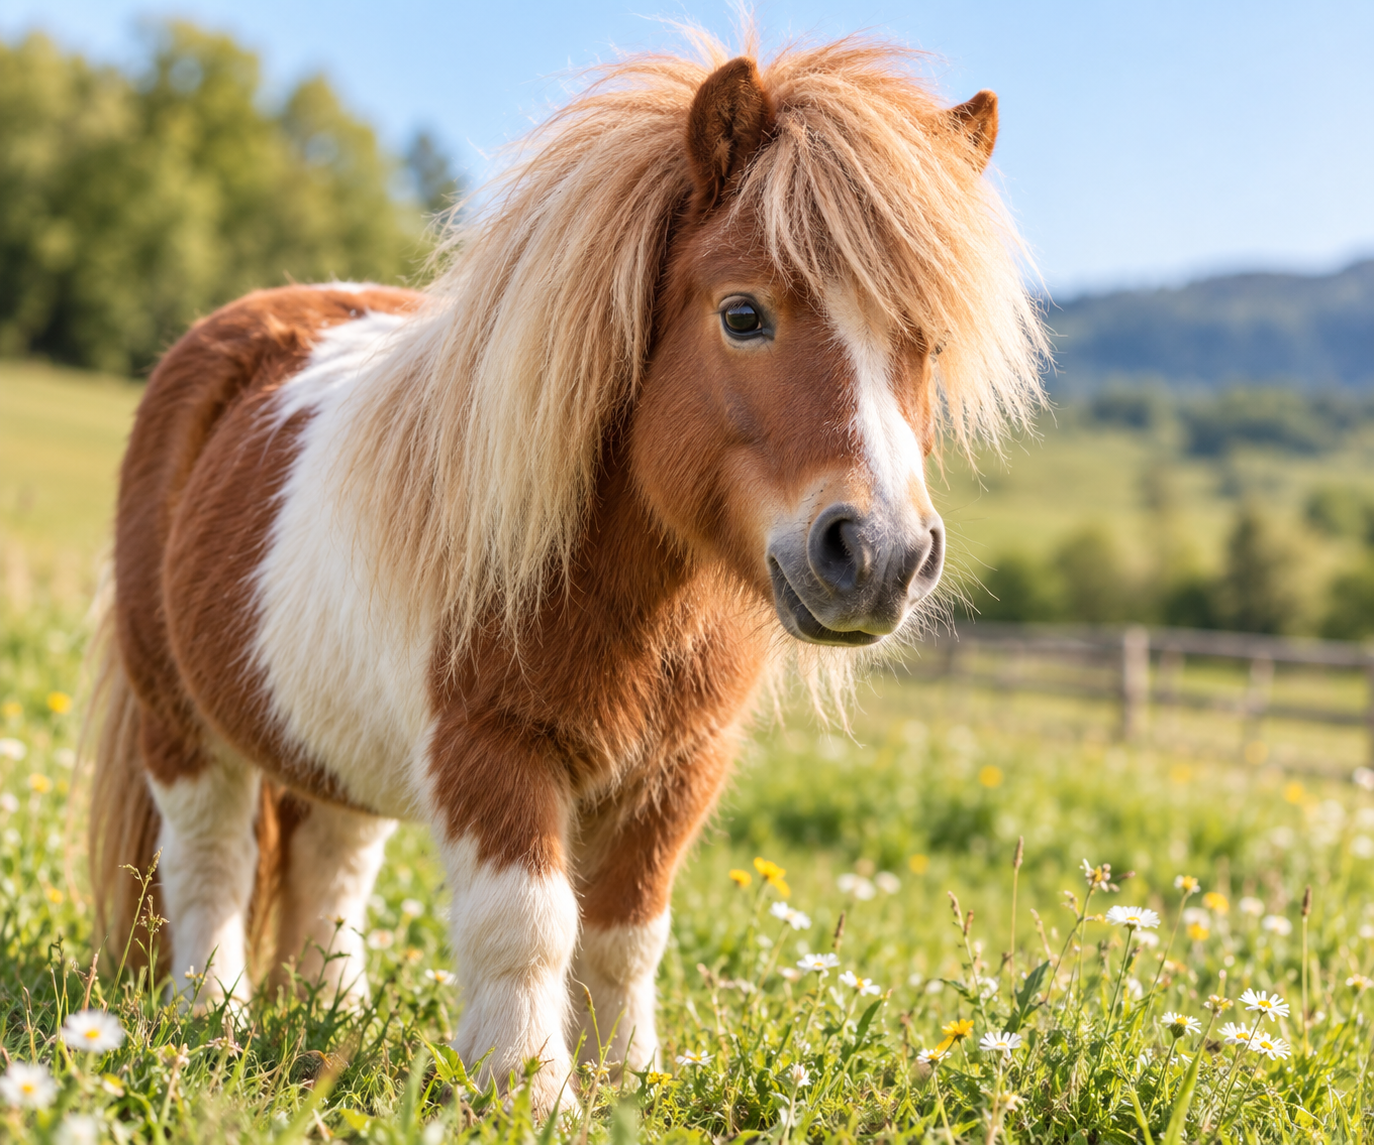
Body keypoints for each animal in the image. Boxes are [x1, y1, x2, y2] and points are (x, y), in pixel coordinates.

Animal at [86, 34, 1045, 1113]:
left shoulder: (676, 771)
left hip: (328, 736)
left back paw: (330, 1015)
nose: (880, 555)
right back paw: (212, 1017)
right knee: (209, 857)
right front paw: (529, 1090)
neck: (632, 597)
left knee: (332, 864)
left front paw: (629, 1081)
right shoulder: (492, 749)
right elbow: (530, 923)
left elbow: (626, 932)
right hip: (181, 720)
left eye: (929, 341)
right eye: (743, 313)